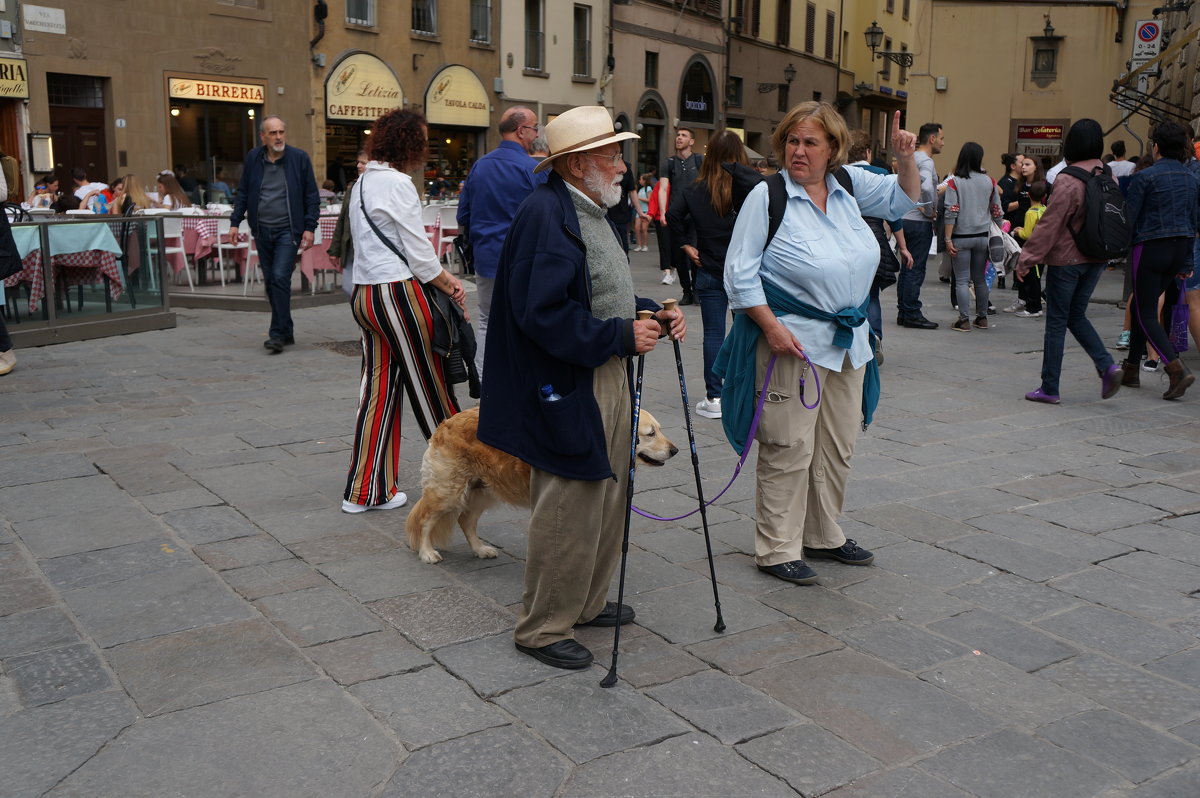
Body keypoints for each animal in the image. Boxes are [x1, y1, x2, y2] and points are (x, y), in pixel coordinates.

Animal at [408, 405, 681, 559]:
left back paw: (480, 549)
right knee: (424, 520)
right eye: (650, 434)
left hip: (482, 490)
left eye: (659, 429)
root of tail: (446, 421)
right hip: (449, 491)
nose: (675, 450)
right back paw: (427, 552)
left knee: (465, 520)